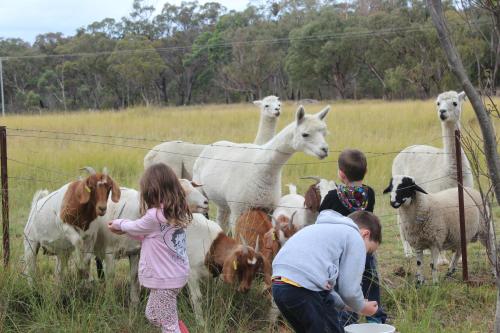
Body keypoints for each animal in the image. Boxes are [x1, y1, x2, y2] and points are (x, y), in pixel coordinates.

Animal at [193, 104, 330, 233]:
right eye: (305, 134)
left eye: (324, 133)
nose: (324, 150)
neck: (261, 168)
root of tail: (212, 145)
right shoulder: (238, 209)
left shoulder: (268, 208)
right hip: (200, 190)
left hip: (222, 201)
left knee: (221, 221)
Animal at [390, 89, 472, 260]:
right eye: (438, 103)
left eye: (455, 103)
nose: (442, 112)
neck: (452, 172)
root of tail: (406, 149)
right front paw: (441, 259)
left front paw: (460, 257)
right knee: (400, 218)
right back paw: (408, 252)